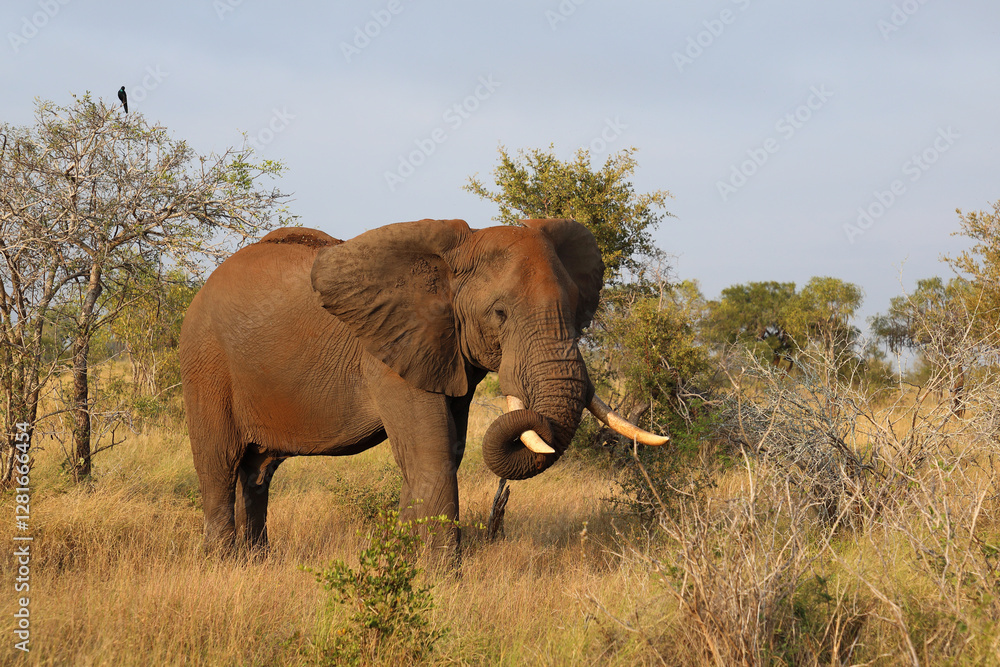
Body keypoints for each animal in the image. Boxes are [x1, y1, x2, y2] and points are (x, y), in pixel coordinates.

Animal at [179, 218, 667, 557]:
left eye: (576, 307)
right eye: (500, 314)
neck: (450, 263)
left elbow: (443, 452)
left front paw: (408, 565)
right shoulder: (389, 352)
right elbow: (428, 453)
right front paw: (444, 581)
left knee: (258, 473)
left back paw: (256, 562)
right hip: (206, 360)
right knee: (219, 463)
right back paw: (225, 564)